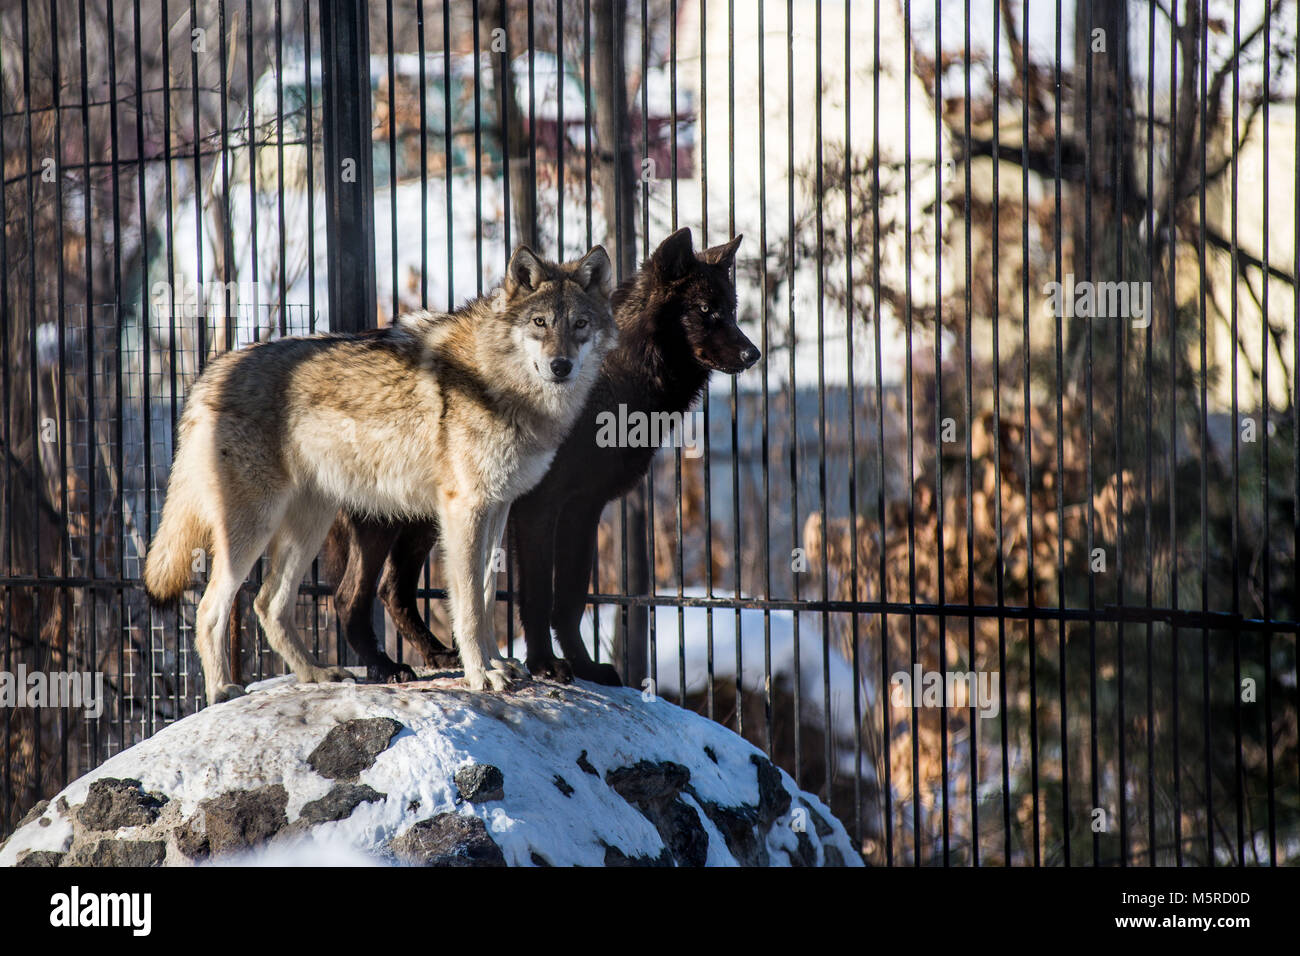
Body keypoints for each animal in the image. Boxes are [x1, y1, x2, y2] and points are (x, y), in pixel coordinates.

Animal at [144, 245, 616, 703]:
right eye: (540, 322)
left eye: (580, 324)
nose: (560, 366)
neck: (500, 379)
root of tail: (208, 376)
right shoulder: (464, 508)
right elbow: (469, 604)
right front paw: (482, 674)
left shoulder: (497, 507)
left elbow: (484, 591)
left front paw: (499, 664)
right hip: (253, 529)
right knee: (211, 608)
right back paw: (221, 689)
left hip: (308, 526)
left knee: (267, 603)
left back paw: (316, 674)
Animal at [324, 228, 758, 686]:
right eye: (705, 310)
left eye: (731, 311)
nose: (754, 354)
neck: (615, 384)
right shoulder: (537, 506)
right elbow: (535, 594)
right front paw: (545, 664)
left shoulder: (584, 510)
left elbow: (569, 600)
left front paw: (583, 666)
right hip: (387, 520)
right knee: (350, 596)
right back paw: (385, 666)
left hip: (422, 520)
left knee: (392, 590)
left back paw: (438, 655)